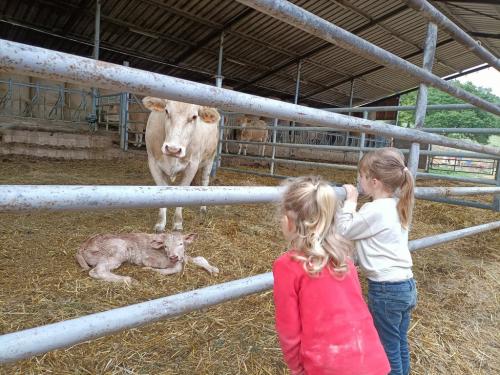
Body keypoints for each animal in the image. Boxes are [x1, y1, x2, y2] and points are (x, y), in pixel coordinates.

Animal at [75, 232, 219, 284]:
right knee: (98, 271)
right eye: (165, 246)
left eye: (181, 244)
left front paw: (213, 269)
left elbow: (199, 258)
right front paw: (150, 270)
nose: (173, 256)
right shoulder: (148, 259)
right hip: (117, 250)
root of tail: (83, 246)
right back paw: (129, 279)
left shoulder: (182, 255)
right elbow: (177, 268)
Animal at [141, 96, 219, 232]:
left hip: (210, 159)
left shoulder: (192, 164)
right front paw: (160, 223)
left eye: (194, 116)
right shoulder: (153, 163)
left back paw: (203, 208)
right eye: (166, 111)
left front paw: (177, 223)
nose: (173, 149)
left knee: (205, 180)